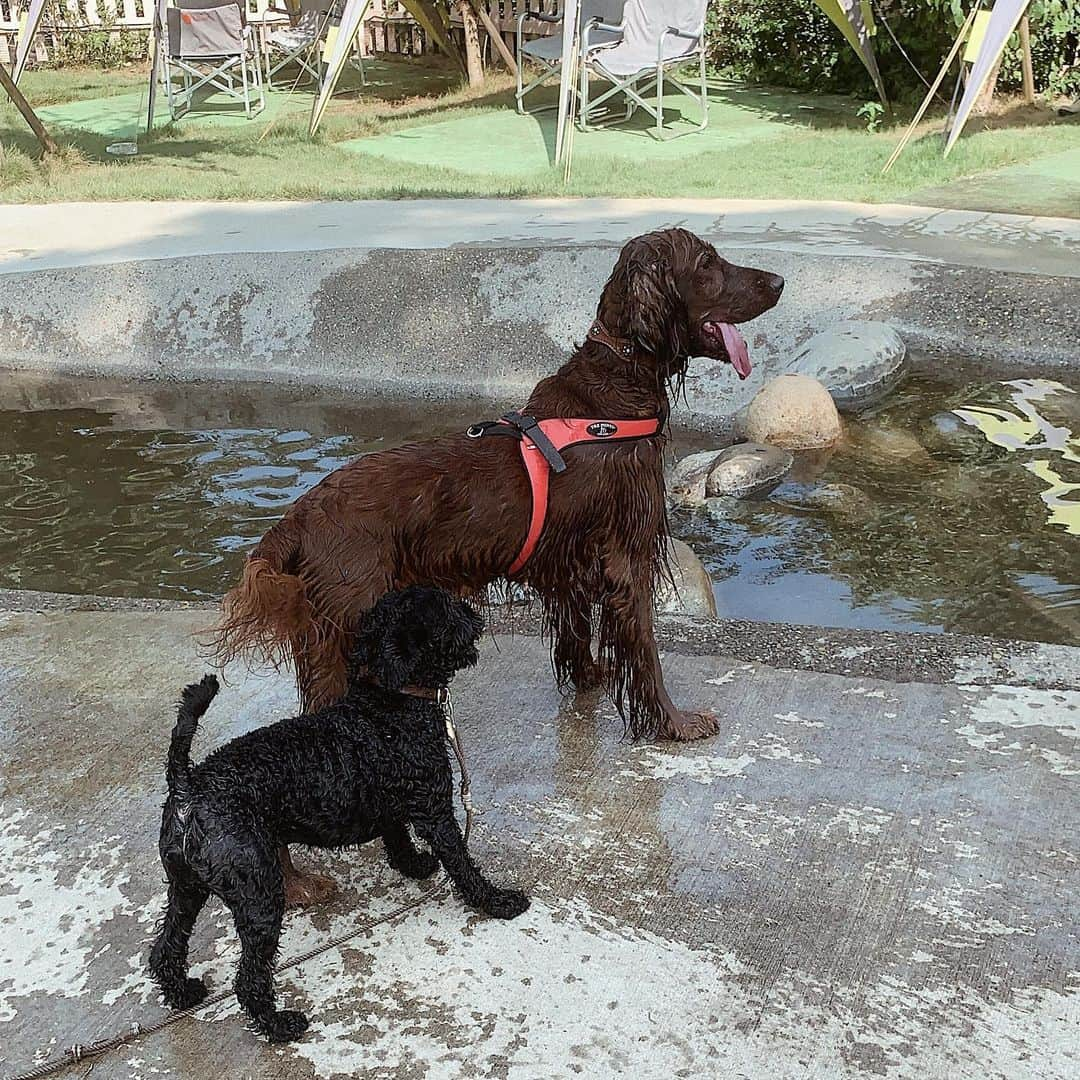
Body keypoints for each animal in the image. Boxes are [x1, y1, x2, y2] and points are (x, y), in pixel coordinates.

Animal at [147, 587, 527, 1041]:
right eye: (445, 607)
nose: (473, 612)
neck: (390, 700)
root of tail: (189, 785)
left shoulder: (394, 806)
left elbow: (397, 838)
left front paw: (414, 865)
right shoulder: (436, 811)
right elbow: (464, 866)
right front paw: (499, 901)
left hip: (186, 887)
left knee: (166, 947)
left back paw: (182, 992)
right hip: (259, 894)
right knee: (249, 978)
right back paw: (279, 1024)